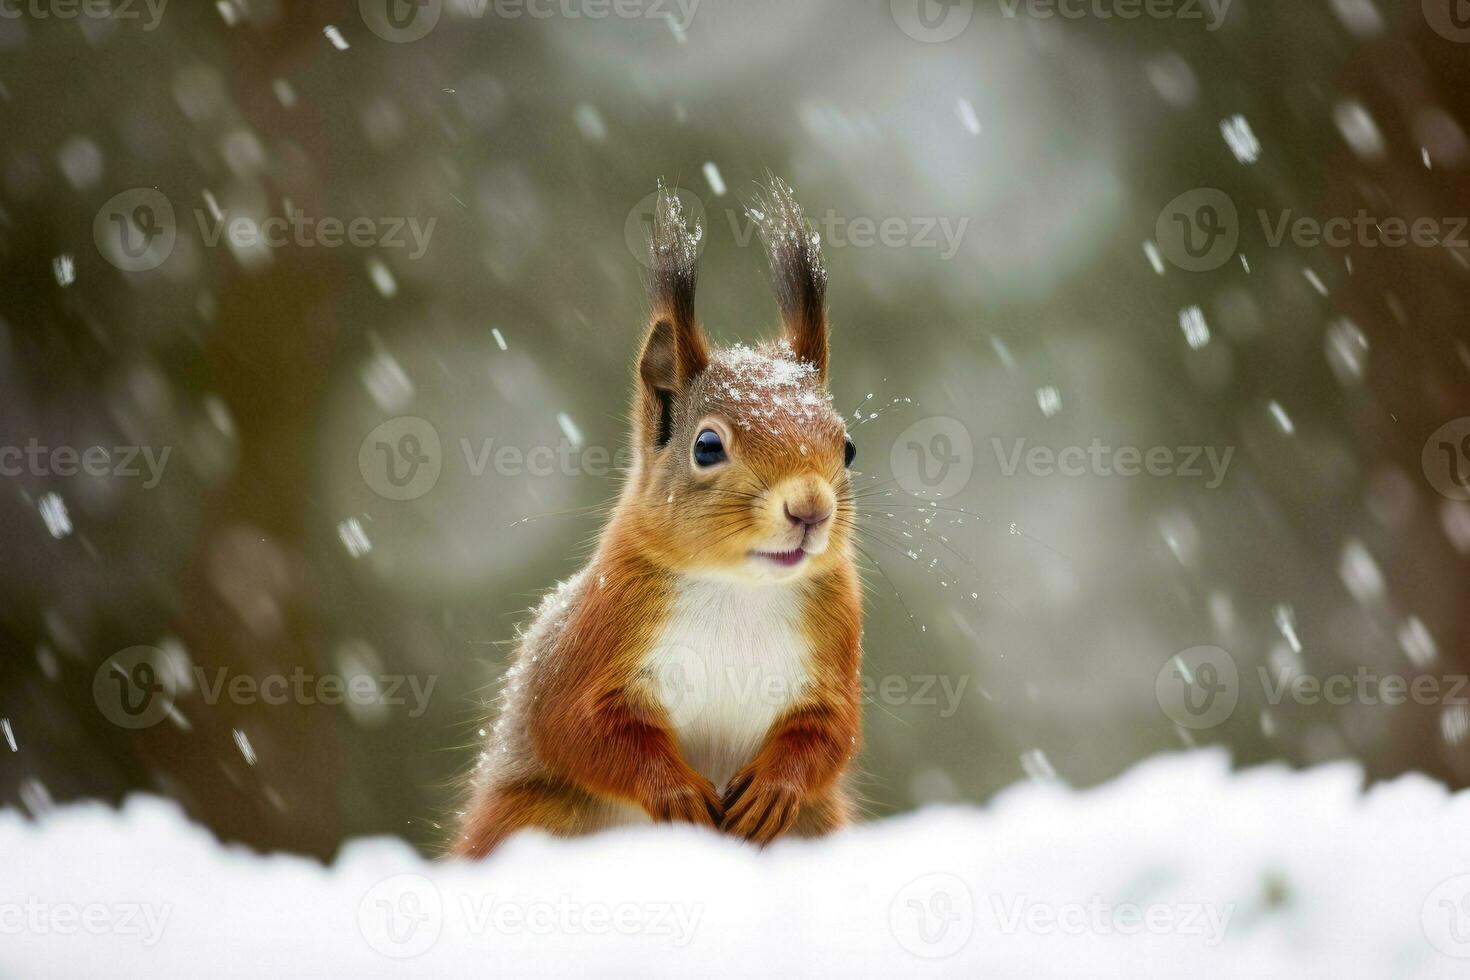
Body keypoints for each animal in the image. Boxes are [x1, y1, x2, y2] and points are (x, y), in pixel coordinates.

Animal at [449, 179, 858, 852]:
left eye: (848, 447)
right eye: (707, 445)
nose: (811, 508)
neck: (739, 589)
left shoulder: (836, 640)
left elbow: (831, 731)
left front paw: (775, 790)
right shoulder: (600, 633)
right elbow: (581, 727)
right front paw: (678, 793)